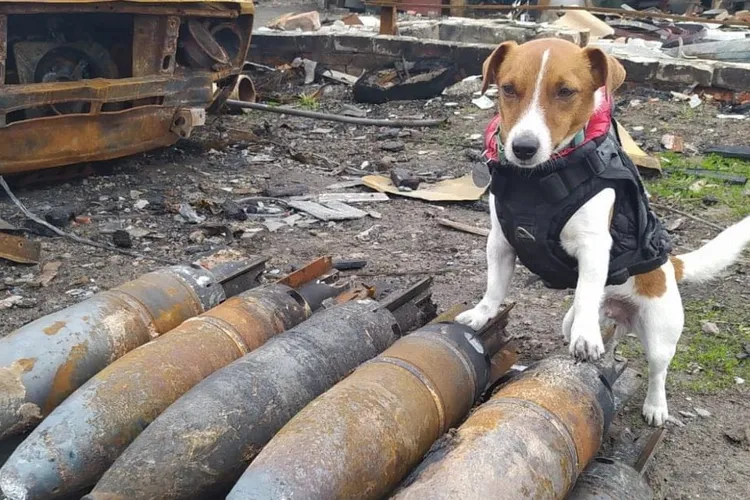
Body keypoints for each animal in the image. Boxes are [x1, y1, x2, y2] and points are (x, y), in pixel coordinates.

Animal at [456, 39, 750, 428]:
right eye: (508, 89)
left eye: (566, 91)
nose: (523, 148)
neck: (538, 180)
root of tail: (671, 267)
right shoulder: (501, 241)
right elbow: (494, 287)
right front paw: (482, 314)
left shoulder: (594, 247)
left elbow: (585, 292)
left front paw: (585, 337)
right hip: (589, 319)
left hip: (661, 333)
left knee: (658, 371)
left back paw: (655, 405)